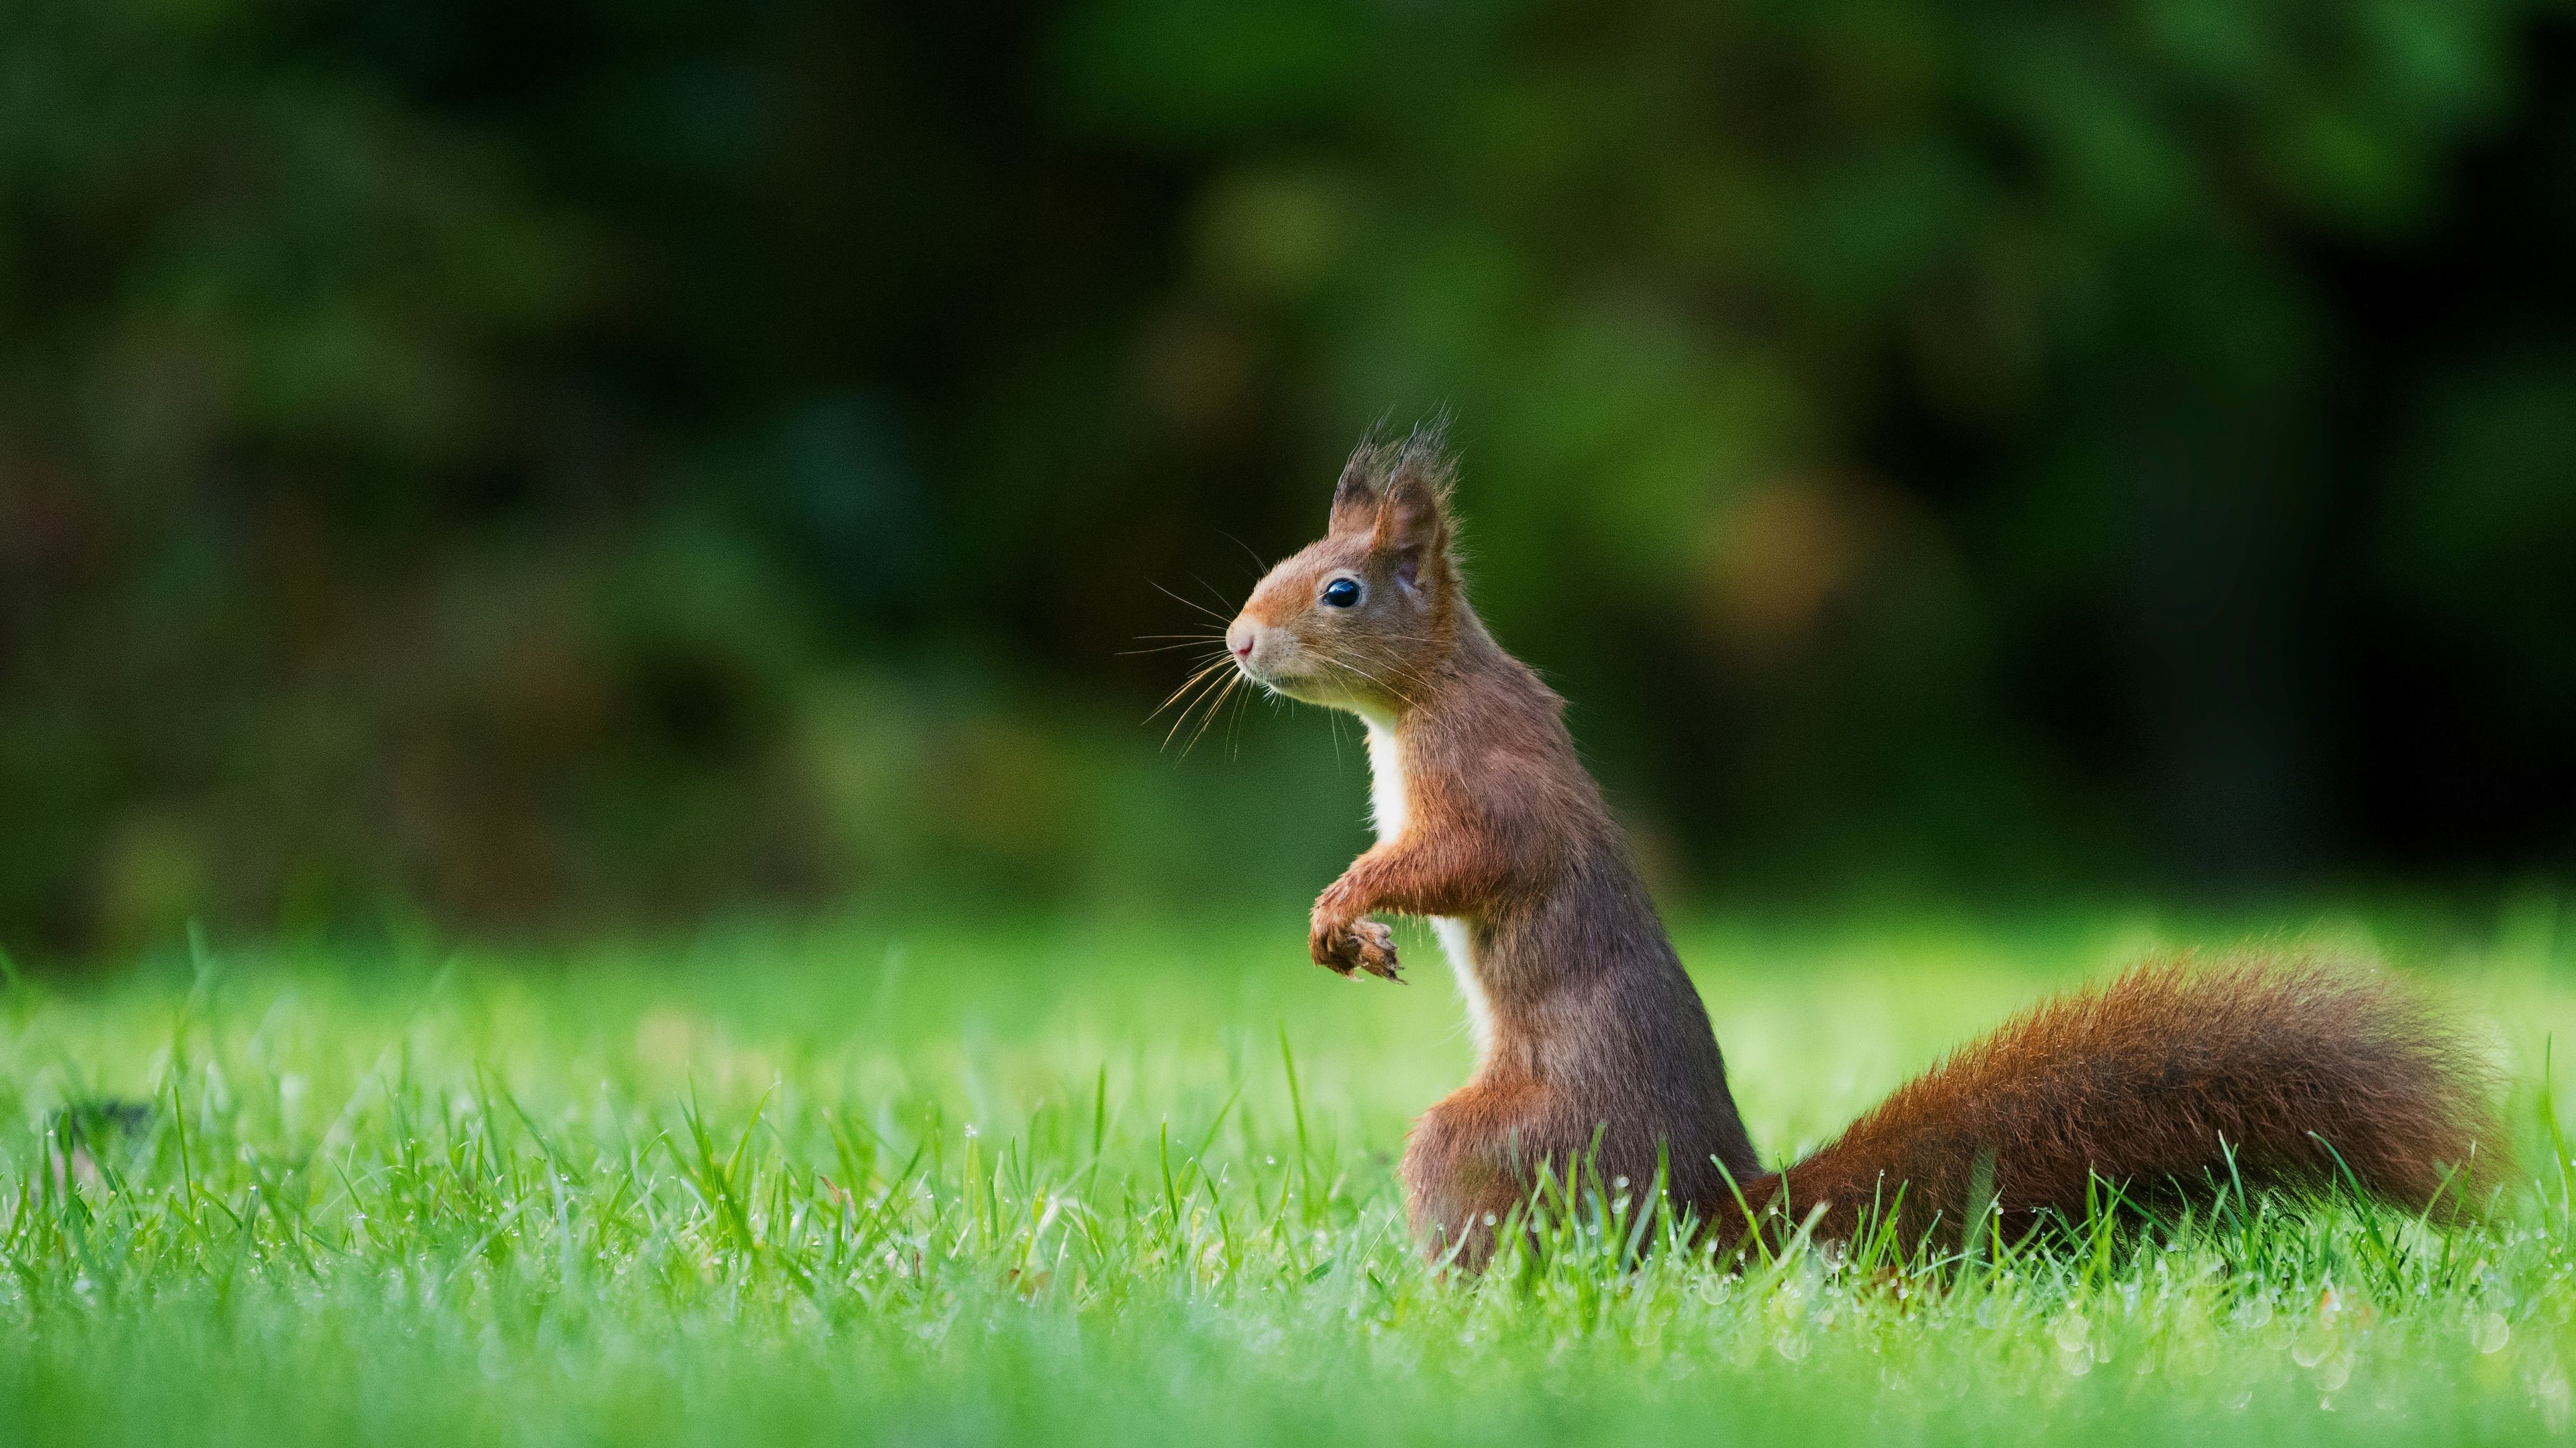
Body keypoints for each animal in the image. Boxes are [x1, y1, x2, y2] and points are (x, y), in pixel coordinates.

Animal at [1216, 417, 2504, 1262]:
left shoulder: (1488, 777)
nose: (1236, 642)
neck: (1420, 697)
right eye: (1275, 567)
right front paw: (1352, 928)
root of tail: (1716, 1211)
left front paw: (1345, 905)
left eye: (1338, 592)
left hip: (1505, 1141)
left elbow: (1474, 857)